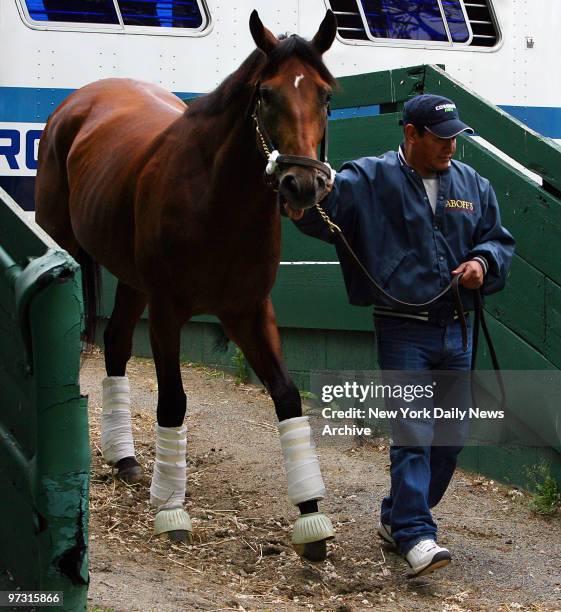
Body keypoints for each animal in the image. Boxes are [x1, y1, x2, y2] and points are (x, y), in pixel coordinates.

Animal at [37, 11, 340, 560]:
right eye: (266, 94)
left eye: (325, 96)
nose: (302, 185)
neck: (216, 200)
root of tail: (79, 103)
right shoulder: (168, 310)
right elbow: (173, 401)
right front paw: (170, 510)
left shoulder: (249, 311)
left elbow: (287, 396)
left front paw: (310, 518)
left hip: (132, 281)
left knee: (116, 342)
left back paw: (125, 458)